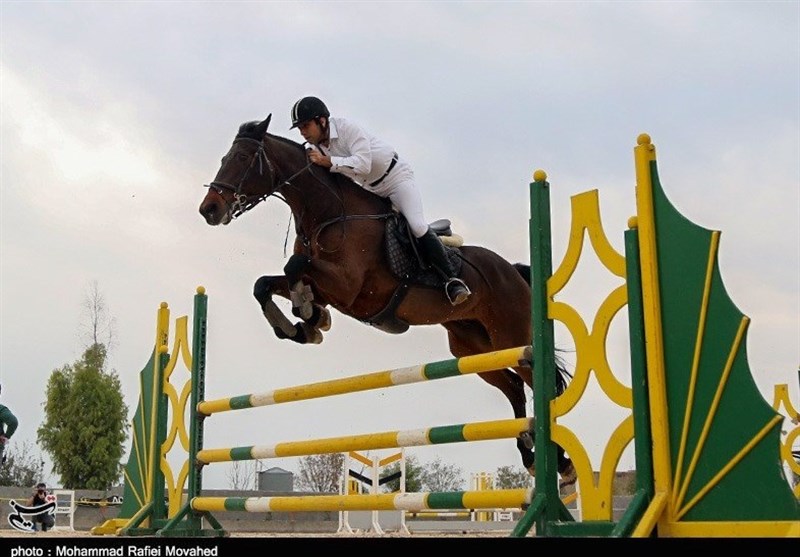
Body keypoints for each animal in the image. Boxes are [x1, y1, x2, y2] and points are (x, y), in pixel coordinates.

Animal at [198, 115, 574, 483]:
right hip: (472, 348)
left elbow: (295, 267)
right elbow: (265, 284)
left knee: (541, 381)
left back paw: (562, 464)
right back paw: (532, 457)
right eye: (225, 158)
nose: (209, 210)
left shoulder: (347, 286)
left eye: (242, 158)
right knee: (514, 387)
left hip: (511, 336)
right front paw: (304, 324)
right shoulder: (329, 289)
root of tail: (512, 270)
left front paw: (308, 315)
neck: (330, 212)